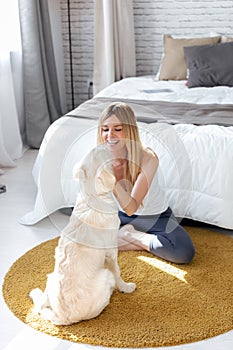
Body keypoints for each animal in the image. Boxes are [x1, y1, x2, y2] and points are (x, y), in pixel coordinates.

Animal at [29, 144, 136, 326]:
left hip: (51, 277)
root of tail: (64, 317)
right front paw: (125, 287)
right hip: (104, 275)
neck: (93, 196)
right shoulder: (111, 251)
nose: (108, 143)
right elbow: (117, 272)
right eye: (102, 151)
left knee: (42, 302)